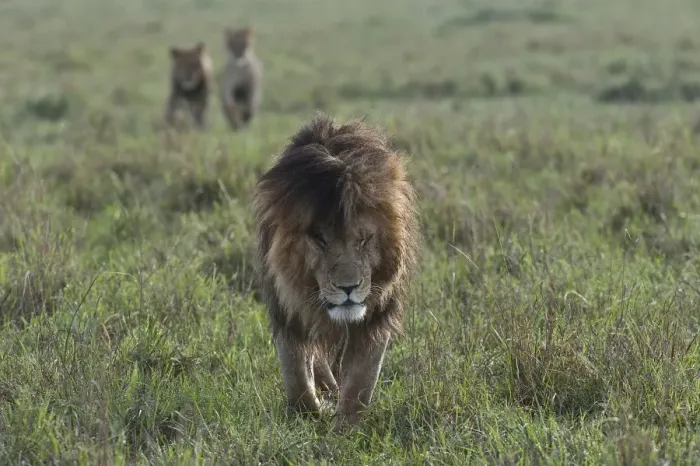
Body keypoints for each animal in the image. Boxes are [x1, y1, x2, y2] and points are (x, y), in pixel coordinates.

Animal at [252, 113, 420, 428]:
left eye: (364, 239)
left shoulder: (375, 314)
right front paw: (310, 414)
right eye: (319, 238)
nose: (348, 288)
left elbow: (361, 382)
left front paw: (346, 428)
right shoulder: (286, 308)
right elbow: (297, 378)